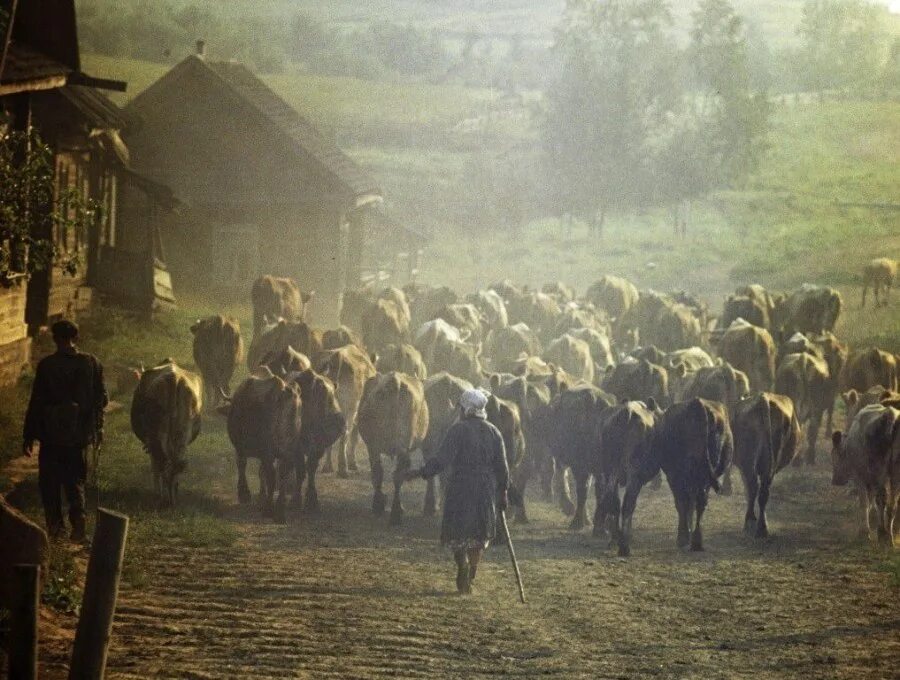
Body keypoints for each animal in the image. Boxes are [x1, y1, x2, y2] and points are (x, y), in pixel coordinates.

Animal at [316, 348, 376, 476]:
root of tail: (336, 356)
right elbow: (354, 438)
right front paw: (353, 464)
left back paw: (327, 467)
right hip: (349, 410)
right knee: (345, 433)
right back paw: (343, 469)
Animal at [356, 372, 430, 524]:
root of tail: (395, 382)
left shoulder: (371, 446)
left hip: (375, 446)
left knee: (379, 472)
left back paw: (382, 506)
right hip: (400, 446)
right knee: (397, 474)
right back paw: (396, 511)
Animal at [732, 394, 800, 536]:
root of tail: (763, 399)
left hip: (749, 461)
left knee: (754, 487)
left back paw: (752, 522)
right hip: (767, 464)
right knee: (762, 489)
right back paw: (761, 527)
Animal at [832, 404, 900, 548]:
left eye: (835, 454)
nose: (835, 480)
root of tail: (890, 414)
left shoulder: (860, 477)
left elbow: (865, 502)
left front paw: (864, 532)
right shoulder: (870, 480)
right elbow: (870, 502)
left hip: (880, 471)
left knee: (882, 499)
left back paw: (883, 533)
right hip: (896, 473)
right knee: (892, 504)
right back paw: (889, 536)